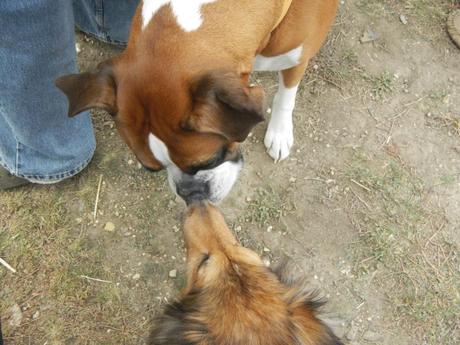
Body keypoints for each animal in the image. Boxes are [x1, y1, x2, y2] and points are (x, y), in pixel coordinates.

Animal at [56, 0, 338, 202]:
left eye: (209, 161)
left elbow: (285, 95)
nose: (188, 193)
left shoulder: (297, 57)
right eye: (151, 169)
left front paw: (279, 132)